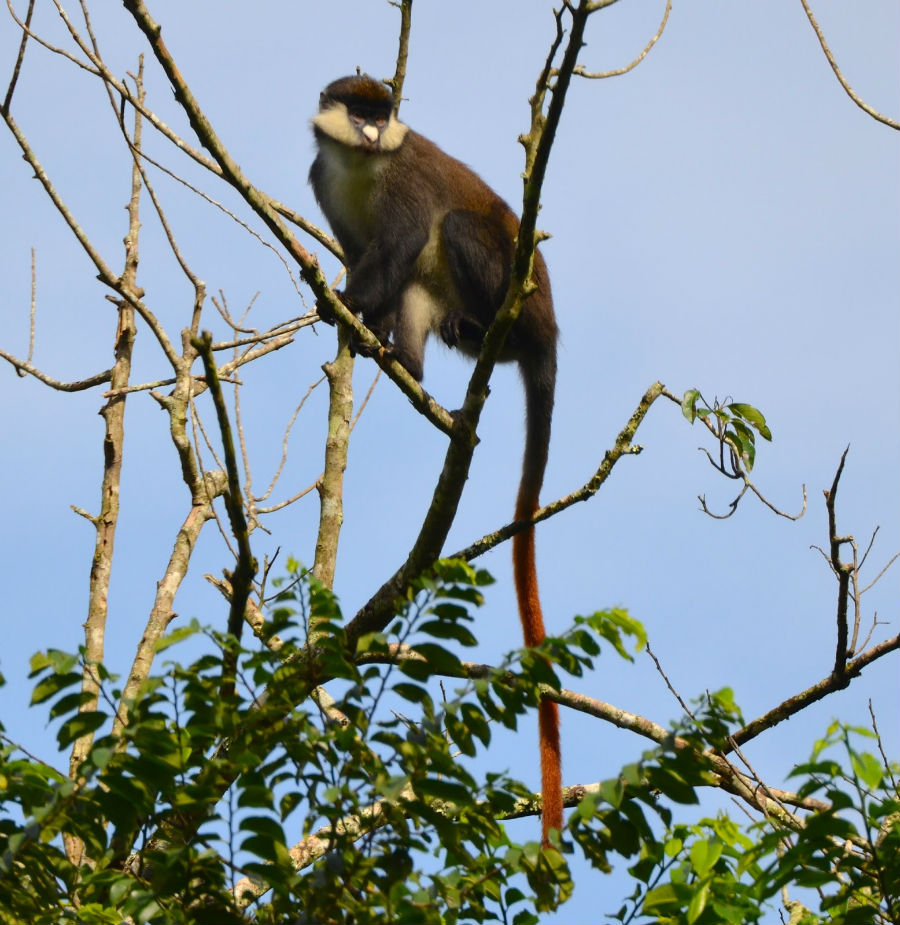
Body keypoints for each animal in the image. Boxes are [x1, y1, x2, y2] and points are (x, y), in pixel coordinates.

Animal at [312, 74, 564, 844]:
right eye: (358, 112)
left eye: (382, 115)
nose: (371, 131)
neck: (362, 167)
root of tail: (551, 334)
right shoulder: (321, 180)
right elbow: (365, 253)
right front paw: (356, 319)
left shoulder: (406, 179)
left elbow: (395, 246)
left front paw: (341, 303)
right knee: (419, 296)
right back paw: (406, 362)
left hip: (514, 286)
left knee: (450, 231)